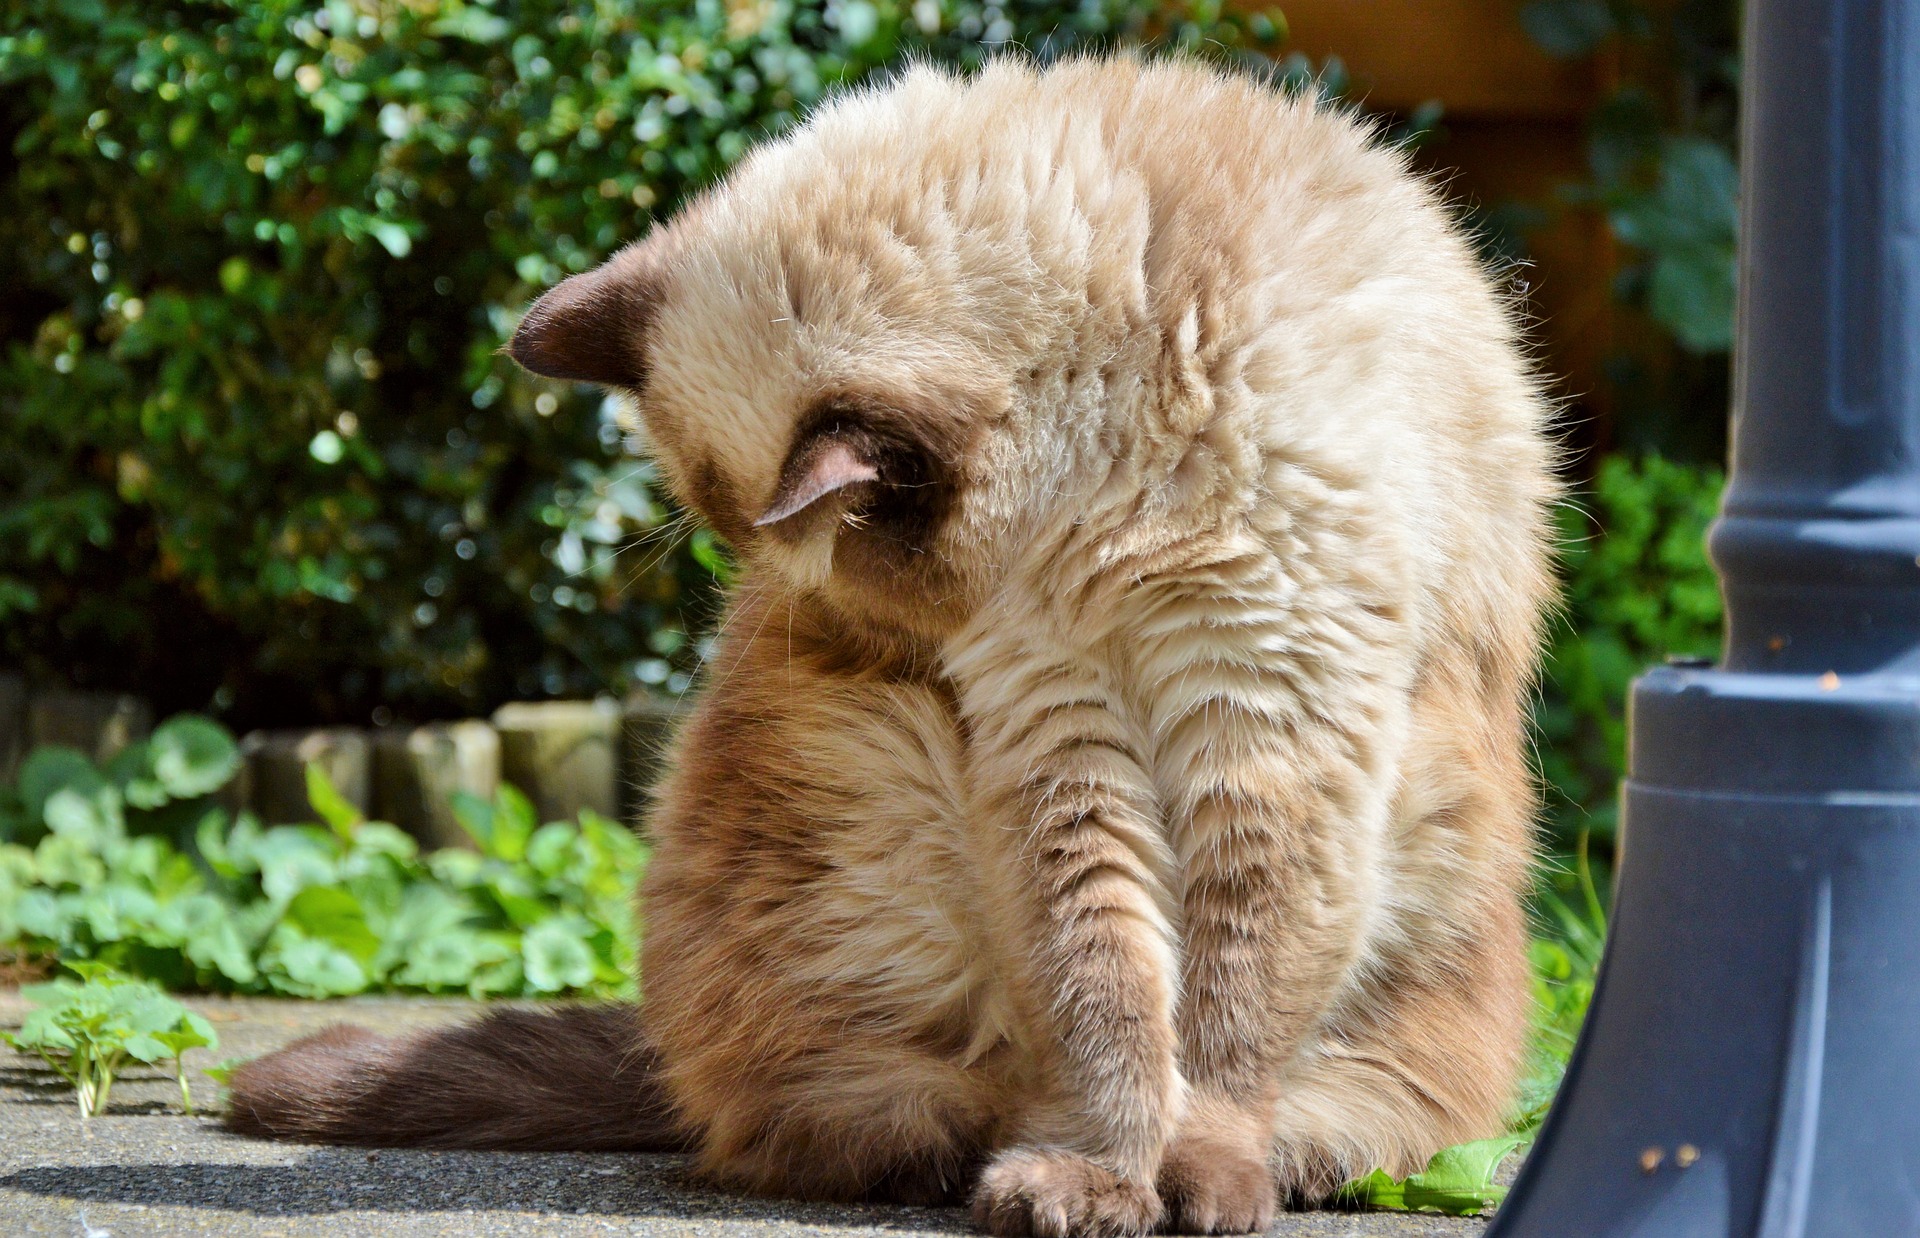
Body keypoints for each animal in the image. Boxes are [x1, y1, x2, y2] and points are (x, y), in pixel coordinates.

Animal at [228, 55, 1559, 1236]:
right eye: (738, 545)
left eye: (819, 552)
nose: (821, 625)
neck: (1103, 486)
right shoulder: (1054, 719)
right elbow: (1109, 988)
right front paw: (1099, 1178)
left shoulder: (1266, 715)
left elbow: (1229, 1011)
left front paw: (1199, 1181)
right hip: (888, 771)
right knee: (824, 1111)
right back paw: (973, 1154)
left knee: (1363, 1106)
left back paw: (1279, 1160)